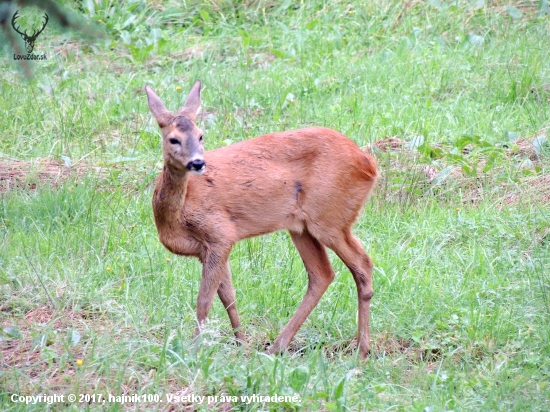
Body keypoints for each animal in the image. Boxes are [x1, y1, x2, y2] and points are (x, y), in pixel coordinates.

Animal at [147, 79, 380, 358]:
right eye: (173, 139)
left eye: (201, 135)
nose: (197, 163)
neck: (177, 215)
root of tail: (369, 163)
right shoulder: (208, 248)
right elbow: (228, 297)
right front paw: (242, 344)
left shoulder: (220, 234)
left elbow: (204, 299)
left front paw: (193, 351)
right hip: (301, 227)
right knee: (322, 274)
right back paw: (278, 347)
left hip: (330, 217)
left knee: (362, 264)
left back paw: (362, 350)